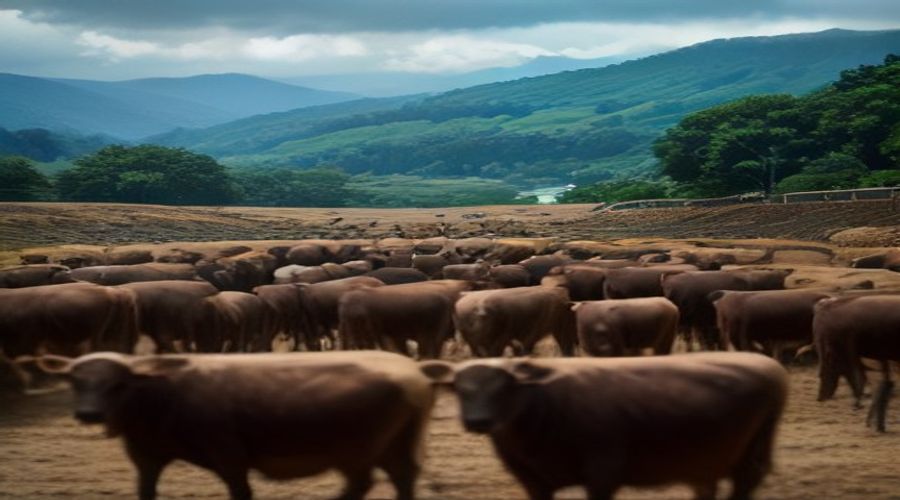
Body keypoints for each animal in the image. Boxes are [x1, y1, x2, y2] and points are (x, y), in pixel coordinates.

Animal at [40, 351, 436, 500]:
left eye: (118, 384)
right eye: (75, 381)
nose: (89, 414)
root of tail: (412, 374)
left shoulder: (229, 455)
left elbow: (241, 492)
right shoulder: (146, 457)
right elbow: (145, 490)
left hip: (356, 451)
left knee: (362, 484)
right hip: (393, 445)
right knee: (403, 476)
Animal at [421, 353, 788, 500]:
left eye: (504, 386)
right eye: (460, 389)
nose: (477, 421)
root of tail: (770, 368)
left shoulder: (603, 473)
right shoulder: (532, 480)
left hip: (752, 454)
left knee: (744, 484)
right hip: (708, 458)